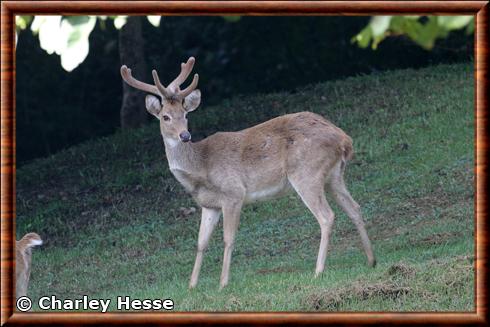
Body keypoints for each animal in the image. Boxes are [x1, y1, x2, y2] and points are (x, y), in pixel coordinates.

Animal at [120, 57, 378, 290]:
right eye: (165, 117)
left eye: (185, 115)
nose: (185, 135)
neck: (201, 168)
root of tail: (344, 139)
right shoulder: (209, 204)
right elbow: (201, 243)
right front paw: (191, 286)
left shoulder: (234, 193)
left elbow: (228, 238)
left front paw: (223, 283)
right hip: (334, 176)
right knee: (354, 207)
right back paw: (371, 260)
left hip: (307, 173)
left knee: (326, 216)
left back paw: (318, 271)